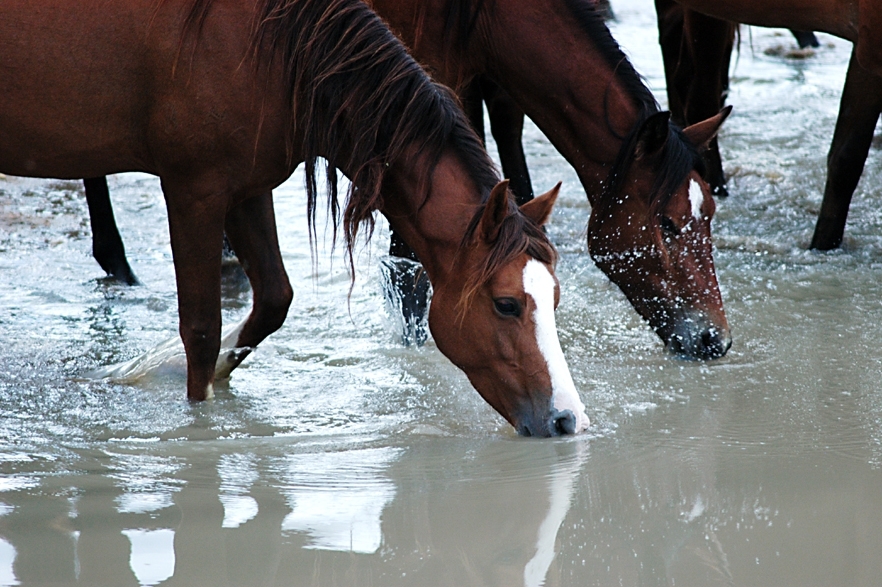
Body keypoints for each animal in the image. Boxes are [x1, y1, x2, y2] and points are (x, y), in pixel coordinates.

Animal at [3, 0, 592, 436]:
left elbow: (273, 300)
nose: (568, 420)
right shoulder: (194, 192)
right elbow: (201, 329)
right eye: (507, 304)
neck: (270, 48)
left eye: (555, 299)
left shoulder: (246, 188)